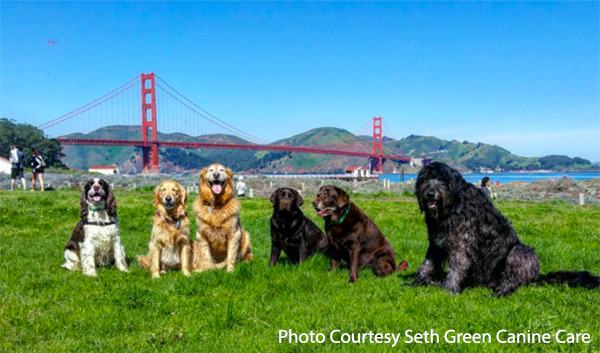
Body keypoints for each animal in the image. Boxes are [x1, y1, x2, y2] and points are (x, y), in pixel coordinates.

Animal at [414, 162, 596, 294]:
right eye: (424, 179)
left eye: (442, 180)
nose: (430, 193)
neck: (450, 207)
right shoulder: (436, 242)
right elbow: (427, 263)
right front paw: (416, 282)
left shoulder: (462, 242)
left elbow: (457, 266)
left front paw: (449, 289)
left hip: (520, 252)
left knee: (514, 279)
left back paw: (503, 290)